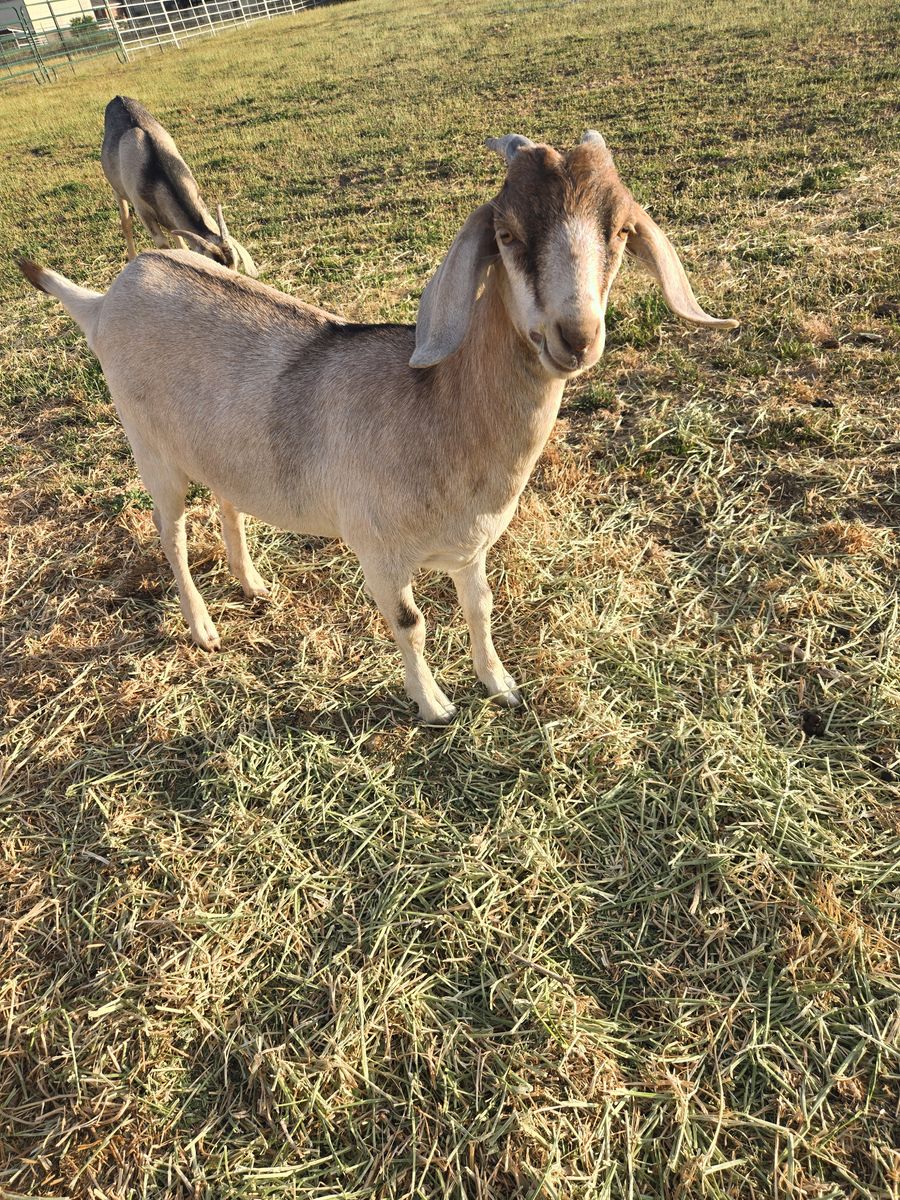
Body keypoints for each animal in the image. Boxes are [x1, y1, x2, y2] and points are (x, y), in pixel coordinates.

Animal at [20, 131, 737, 724]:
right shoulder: (379, 550)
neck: (435, 413)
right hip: (153, 450)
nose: (576, 336)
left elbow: (481, 607)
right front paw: (436, 706)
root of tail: (107, 297)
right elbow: (410, 621)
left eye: (619, 232)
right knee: (170, 533)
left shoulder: (470, 546)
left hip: (219, 449)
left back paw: (253, 584)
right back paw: (203, 627)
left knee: (228, 501)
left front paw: (500, 685)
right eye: (506, 234)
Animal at [101, 95, 257, 276]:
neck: (155, 167)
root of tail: (118, 97)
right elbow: (162, 244)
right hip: (117, 189)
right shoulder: (143, 211)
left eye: (237, 263)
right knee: (126, 222)